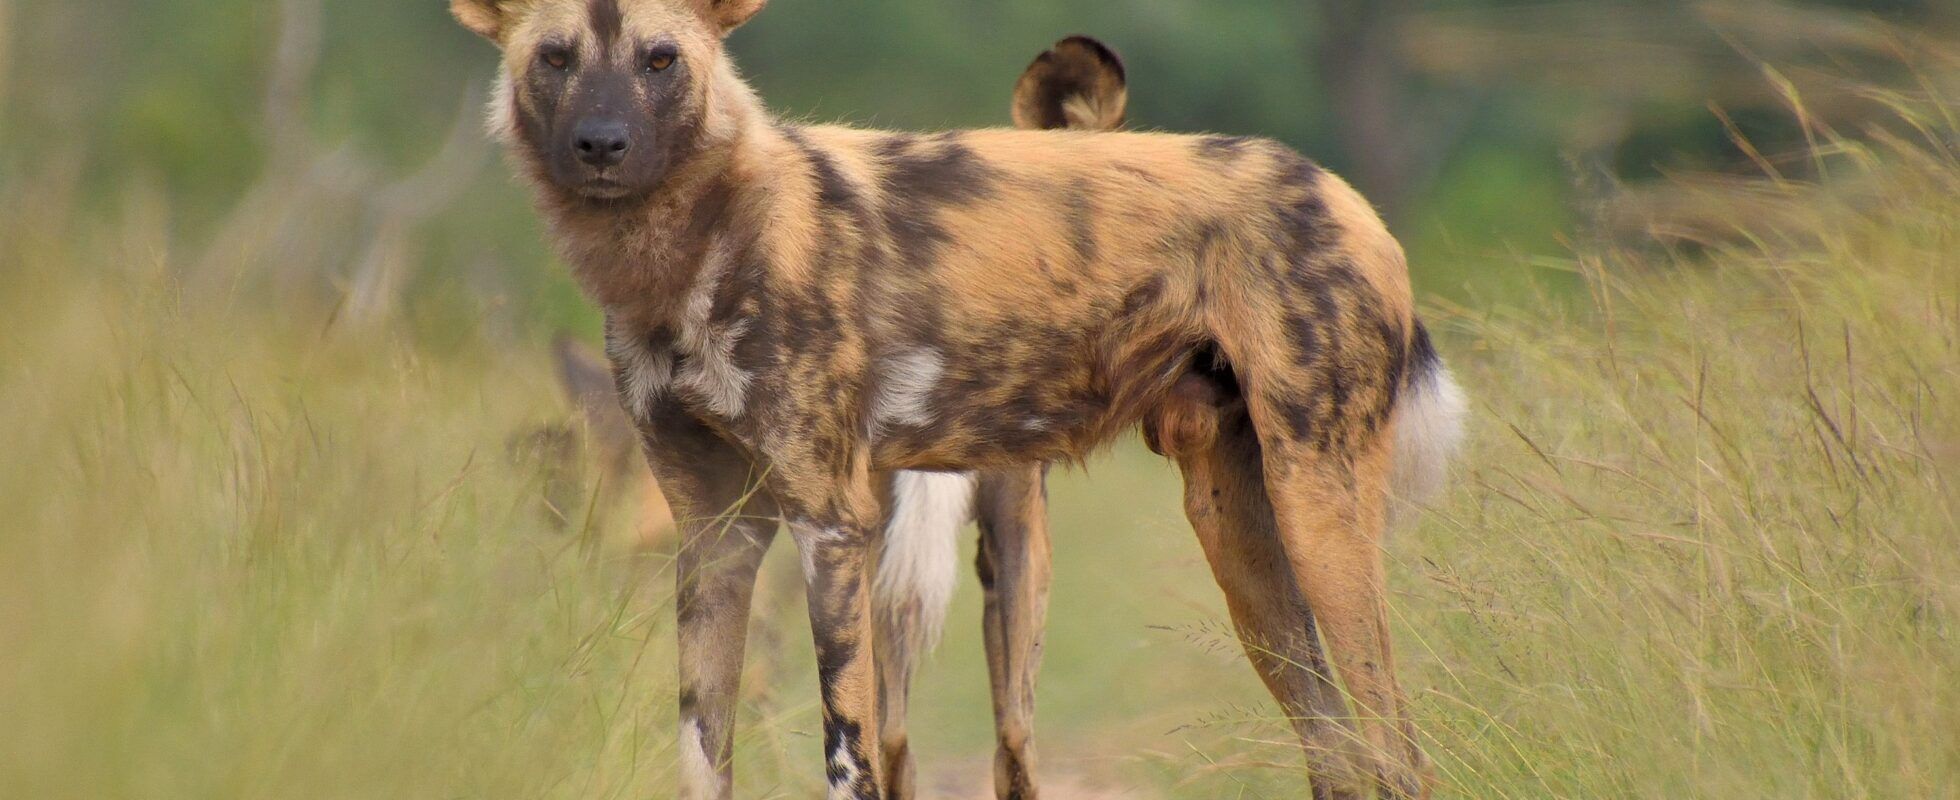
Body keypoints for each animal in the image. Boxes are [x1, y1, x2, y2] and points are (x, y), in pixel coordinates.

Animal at [450, 1, 1466, 792]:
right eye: (555, 58)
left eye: (661, 60)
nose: (602, 145)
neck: (690, 249)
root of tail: (1343, 193)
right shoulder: (714, 537)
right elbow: (706, 754)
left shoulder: (829, 528)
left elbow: (848, 755)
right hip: (1237, 541)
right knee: (1338, 752)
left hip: (1308, 514)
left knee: (1395, 751)